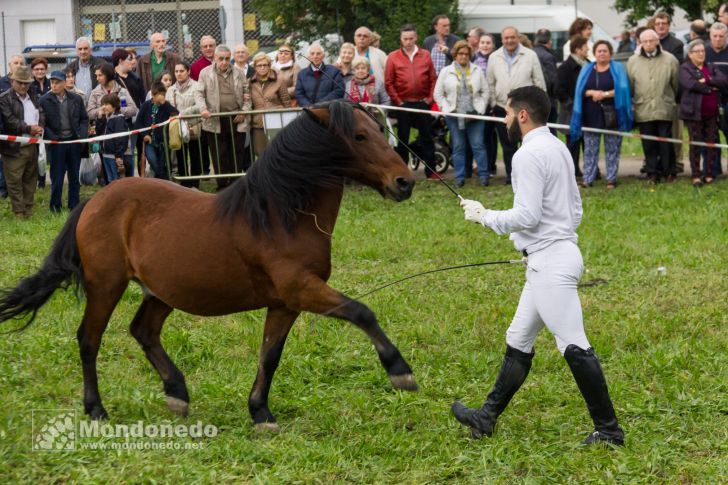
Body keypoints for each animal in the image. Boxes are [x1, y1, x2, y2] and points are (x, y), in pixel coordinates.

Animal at [0, 100, 418, 430]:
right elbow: (361, 312)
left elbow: (270, 355)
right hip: (106, 285)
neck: (280, 215)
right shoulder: (302, 289)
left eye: (379, 129)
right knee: (90, 339)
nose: (405, 182)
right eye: (360, 137)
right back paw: (97, 409)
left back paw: (177, 393)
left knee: (143, 331)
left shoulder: (285, 303)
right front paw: (400, 372)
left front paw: (260, 412)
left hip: (161, 291)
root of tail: (93, 202)